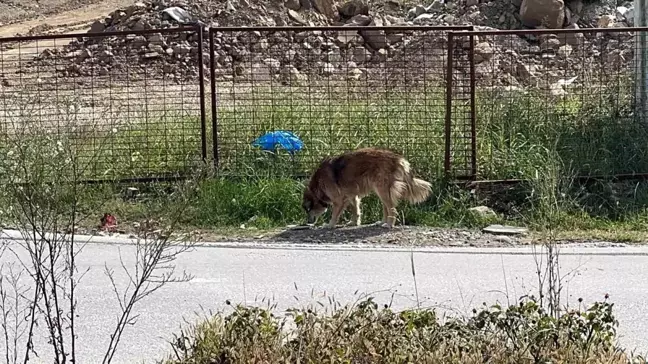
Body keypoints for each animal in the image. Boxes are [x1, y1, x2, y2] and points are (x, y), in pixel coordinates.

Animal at [302, 147, 432, 228]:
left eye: (308, 209)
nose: (308, 222)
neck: (317, 186)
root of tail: (397, 158)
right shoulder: (351, 195)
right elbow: (355, 210)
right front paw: (354, 223)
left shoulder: (338, 200)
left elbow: (335, 214)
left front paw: (330, 225)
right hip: (381, 190)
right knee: (386, 208)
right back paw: (382, 222)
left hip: (382, 189)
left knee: (392, 209)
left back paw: (389, 224)